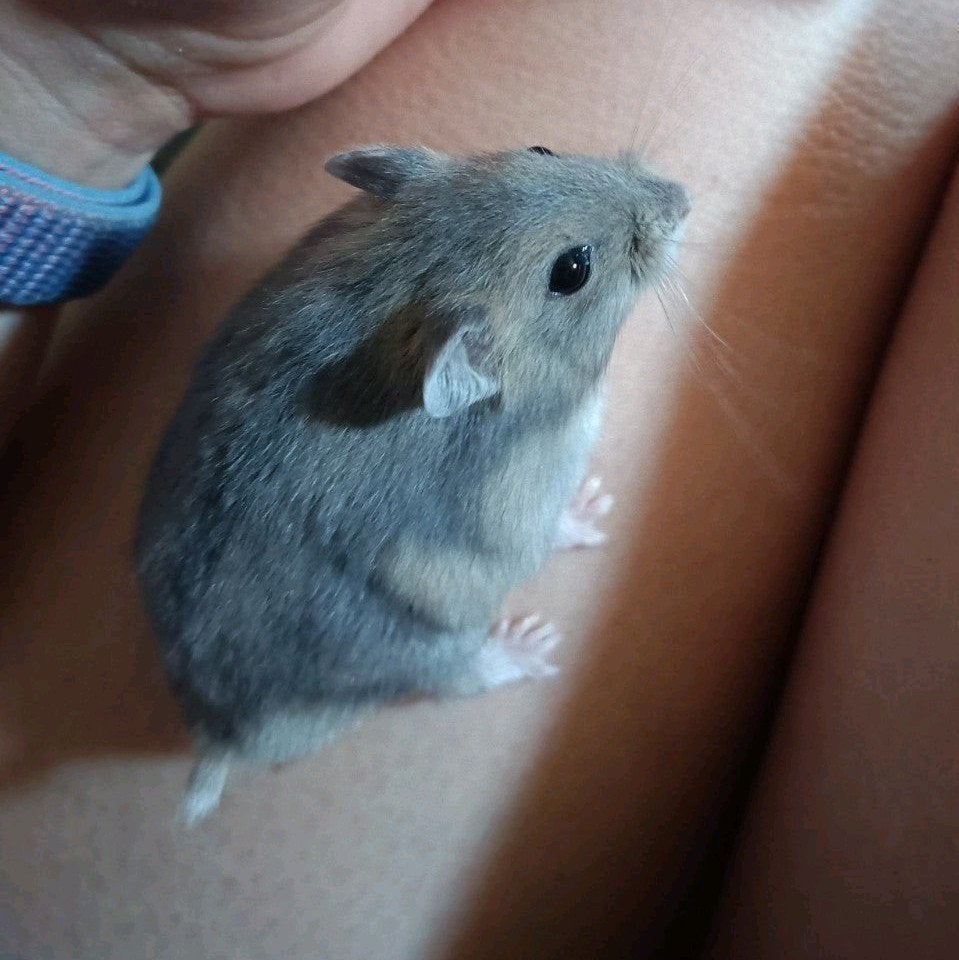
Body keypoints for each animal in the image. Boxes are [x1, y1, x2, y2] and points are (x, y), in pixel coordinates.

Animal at [134, 144, 689, 822]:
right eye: (572, 269)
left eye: (543, 150)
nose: (682, 197)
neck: (399, 279)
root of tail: (217, 737)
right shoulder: (525, 505)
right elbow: (549, 532)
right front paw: (596, 507)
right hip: (429, 649)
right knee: (462, 680)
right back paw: (531, 645)